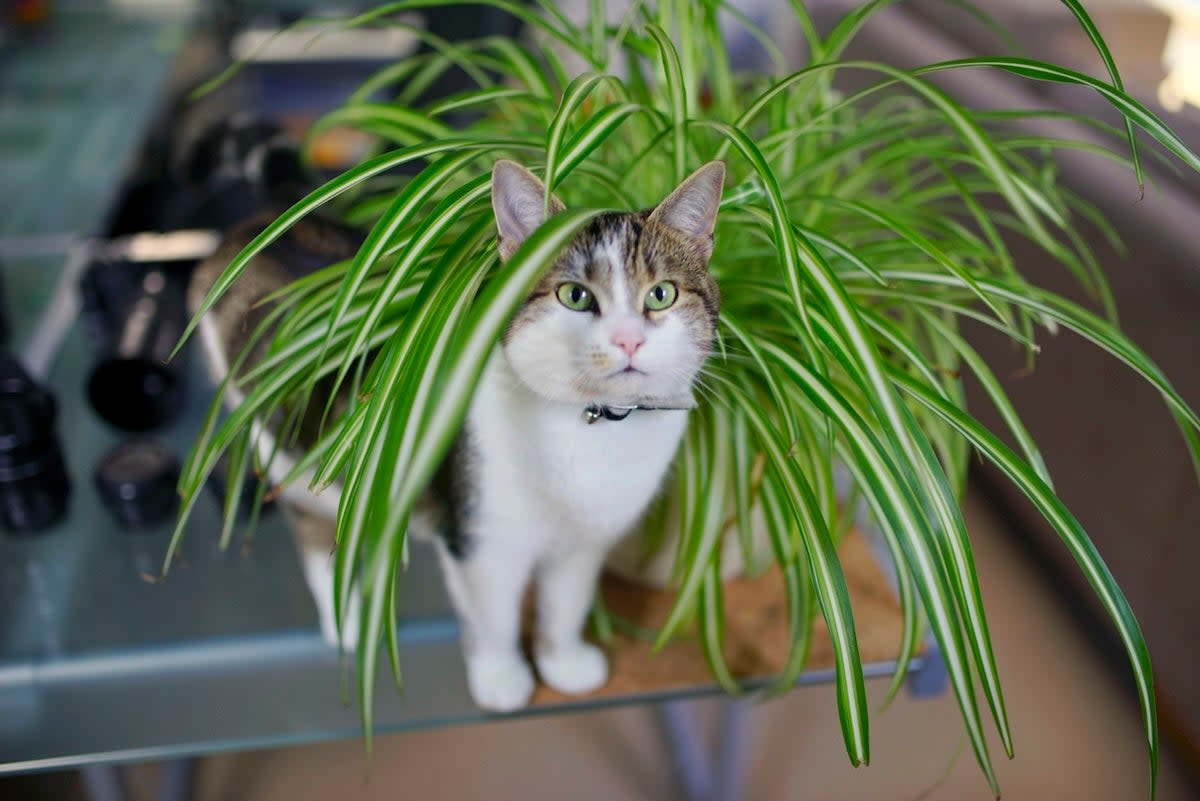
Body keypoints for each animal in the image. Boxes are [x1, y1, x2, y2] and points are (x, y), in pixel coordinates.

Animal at [189, 159, 720, 709]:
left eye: (661, 294)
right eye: (575, 296)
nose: (628, 340)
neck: (593, 430)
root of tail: (248, 228)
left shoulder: (583, 543)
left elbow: (565, 605)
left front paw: (563, 664)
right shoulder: (479, 538)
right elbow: (495, 617)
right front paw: (502, 679)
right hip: (284, 455)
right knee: (313, 530)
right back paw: (348, 622)